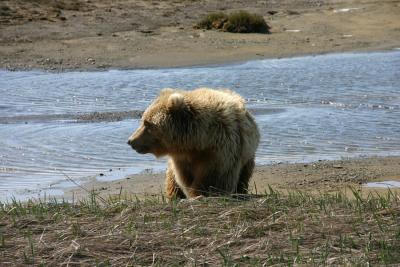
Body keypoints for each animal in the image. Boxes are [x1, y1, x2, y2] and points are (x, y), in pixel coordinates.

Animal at [127, 88, 260, 199]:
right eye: (143, 120)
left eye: (147, 123)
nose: (130, 141)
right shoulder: (181, 158)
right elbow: (183, 178)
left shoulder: (221, 150)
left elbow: (213, 177)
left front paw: (201, 193)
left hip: (247, 153)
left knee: (244, 174)